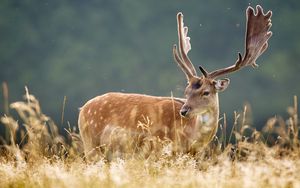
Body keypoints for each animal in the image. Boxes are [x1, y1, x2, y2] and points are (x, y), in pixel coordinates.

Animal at [78, 4, 274, 160]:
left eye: (206, 92)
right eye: (186, 92)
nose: (184, 110)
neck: (189, 138)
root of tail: (82, 110)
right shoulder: (159, 150)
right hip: (91, 146)